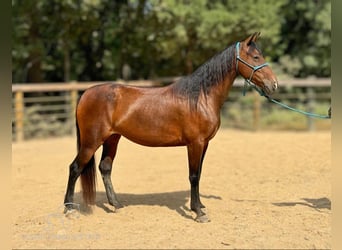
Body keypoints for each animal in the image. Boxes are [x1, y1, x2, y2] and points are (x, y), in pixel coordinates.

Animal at [63, 32, 278, 222]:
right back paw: (69, 210)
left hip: (112, 138)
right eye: (256, 56)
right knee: (75, 168)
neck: (200, 96)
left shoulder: (205, 144)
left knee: (105, 168)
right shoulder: (195, 143)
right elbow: (193, 176)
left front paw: (199, 206)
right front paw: (198, 213)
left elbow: (199, 173)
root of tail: (86, 94)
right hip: (91, 141)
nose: (274, 85)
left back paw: (116, 204)